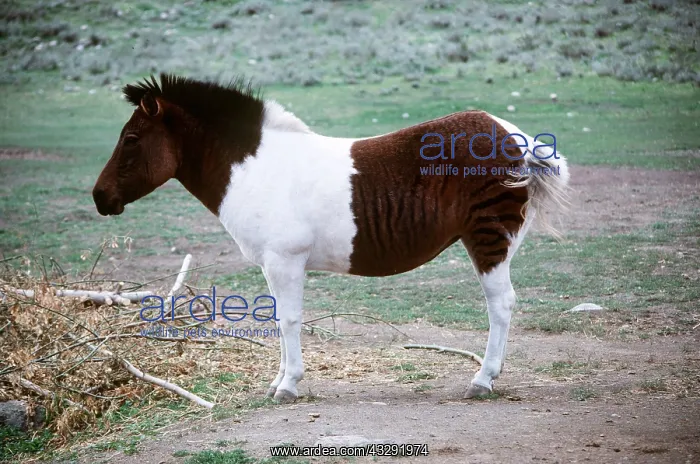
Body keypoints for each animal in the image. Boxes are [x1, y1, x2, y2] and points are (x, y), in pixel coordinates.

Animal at [92, 73, 569, 402]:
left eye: (131, 138)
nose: (99, 198)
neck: (257, 169)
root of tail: (515, 137)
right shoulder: (273, 264)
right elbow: (279, 319)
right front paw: (277, 382)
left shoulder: (285, 260)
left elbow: (288, 320)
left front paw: (288, 387)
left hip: (488, 239)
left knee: (501, 304)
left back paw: (482, 380)